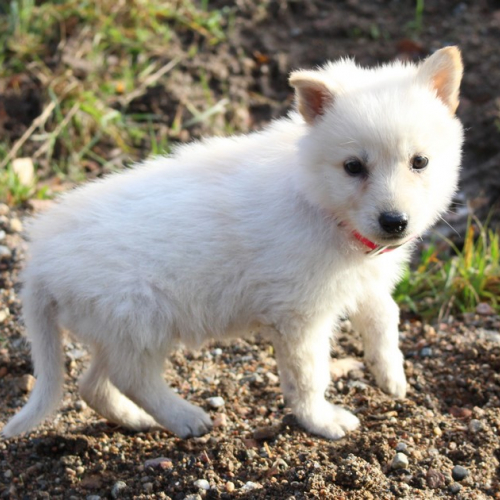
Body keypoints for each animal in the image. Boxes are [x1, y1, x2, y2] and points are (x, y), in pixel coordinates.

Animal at [2, 46, 464, 438]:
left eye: (420, 162)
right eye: (353, 167)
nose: (395, 223)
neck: (318, 201)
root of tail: (38, 265)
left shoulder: (363, 281)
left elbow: (385, 316)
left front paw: (392, 377)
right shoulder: (299, 317)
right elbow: (309, 375)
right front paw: (323, 421)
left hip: (117, 331)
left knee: (93, 384)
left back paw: (136, 420)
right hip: (141, 321)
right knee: (130, 378)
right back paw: (186, 418)